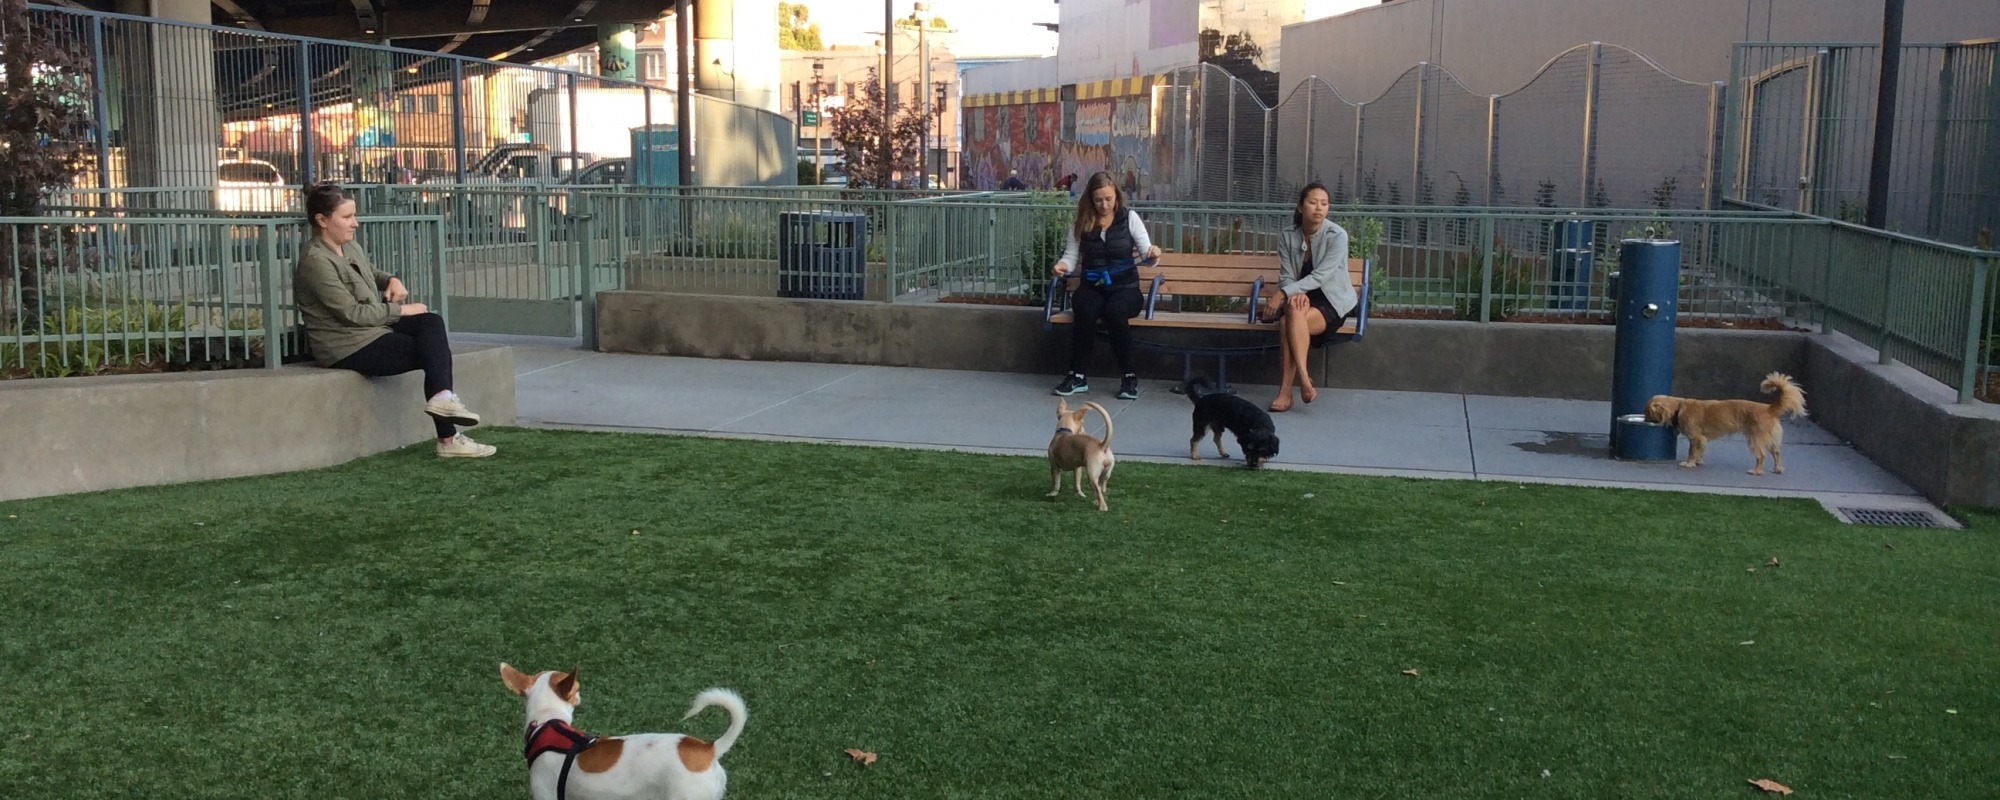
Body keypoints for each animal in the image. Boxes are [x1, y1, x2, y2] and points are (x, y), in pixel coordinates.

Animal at [1640, 370, 1816, 472]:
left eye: (1647, 412)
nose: (1644, 419)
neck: (1679, 406)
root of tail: (1769, 408)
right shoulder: (1702, 439)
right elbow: (1700, 451)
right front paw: (1698, 462)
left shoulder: (1695, 437)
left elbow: (1692, 451)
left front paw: (1689, 463)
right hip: (1772, 439)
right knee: (1777, 453)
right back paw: (1778, 469)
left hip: (1755, 438)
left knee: (1761, 455)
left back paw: (1756, 471)